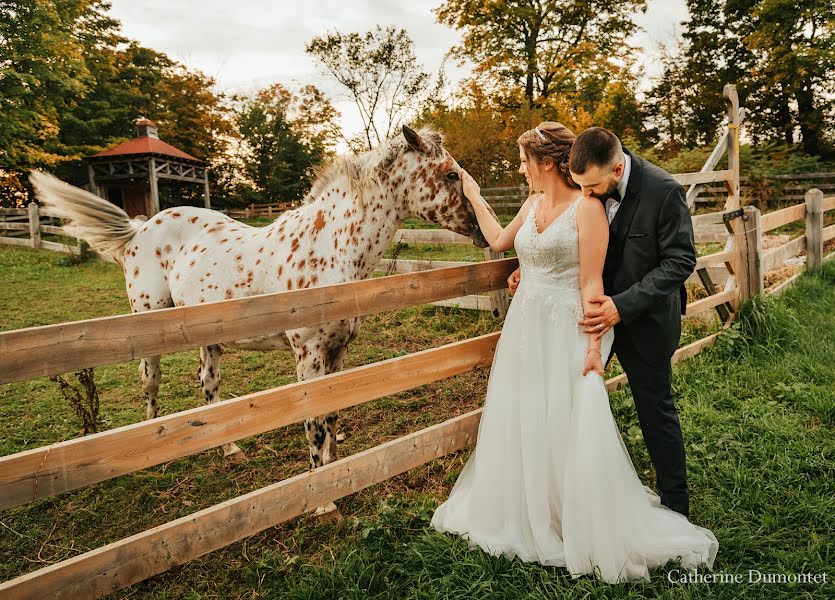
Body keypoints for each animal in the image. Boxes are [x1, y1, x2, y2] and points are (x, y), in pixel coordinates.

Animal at [31, 126, 490, 472]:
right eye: (451, 175)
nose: (484, 229)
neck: (330, 249)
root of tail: (140, 227)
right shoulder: (308, 354)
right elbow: (313, 421)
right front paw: (322, 497)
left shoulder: (339, 350)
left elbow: (333, 411)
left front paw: (337, 470)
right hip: (147, 326)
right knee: (150, 381)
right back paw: (154, 449)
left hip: (207, 337)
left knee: (207, 383)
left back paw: (229, 449)